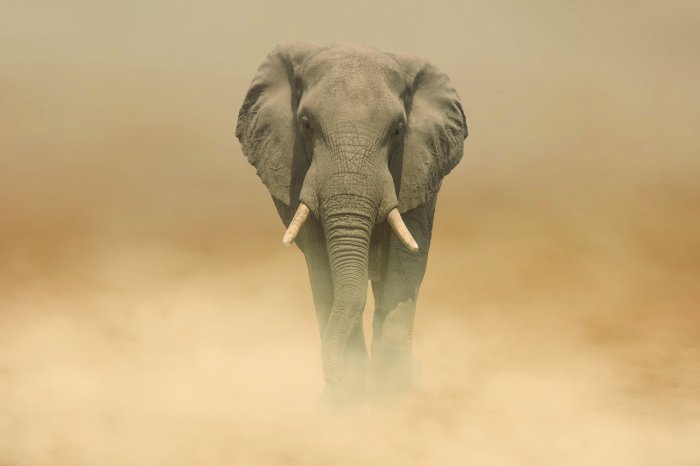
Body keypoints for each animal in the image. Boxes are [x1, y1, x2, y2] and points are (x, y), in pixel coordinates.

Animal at [236, 43, 468, 404]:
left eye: (398, 130)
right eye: (306, 125)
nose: (332, 377)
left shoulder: (418, 166)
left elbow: (405, 259)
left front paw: (393, 394)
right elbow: (321, 262)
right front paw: (345, 398)